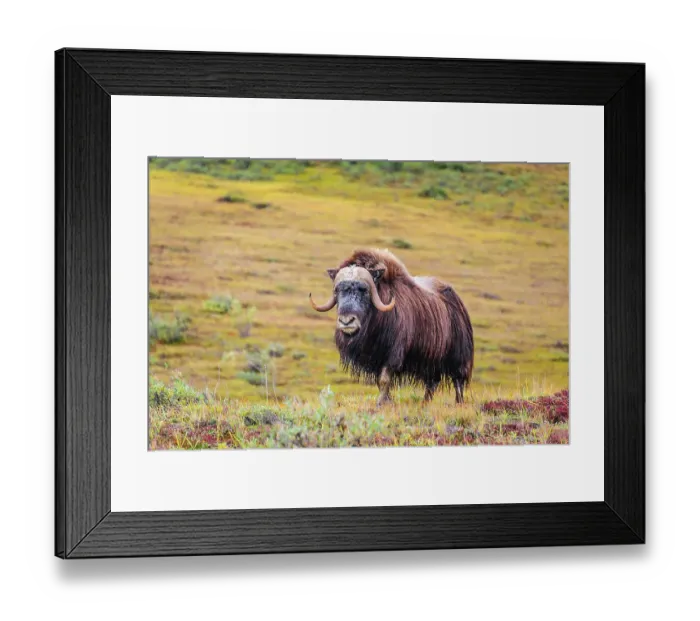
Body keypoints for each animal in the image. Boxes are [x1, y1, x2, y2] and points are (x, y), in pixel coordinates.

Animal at [309, 248, 474, 406]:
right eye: (337, 290)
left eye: (364, 290)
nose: (346, 321)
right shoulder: (376, 359)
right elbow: (379, 381)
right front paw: (387, 400)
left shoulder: (393, 353)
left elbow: (384, 379)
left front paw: (381, 403)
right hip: (431, 360)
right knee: (432, 383)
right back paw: (425, 403)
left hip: (457, 355)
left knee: (458, 380)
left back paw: (459, 403)